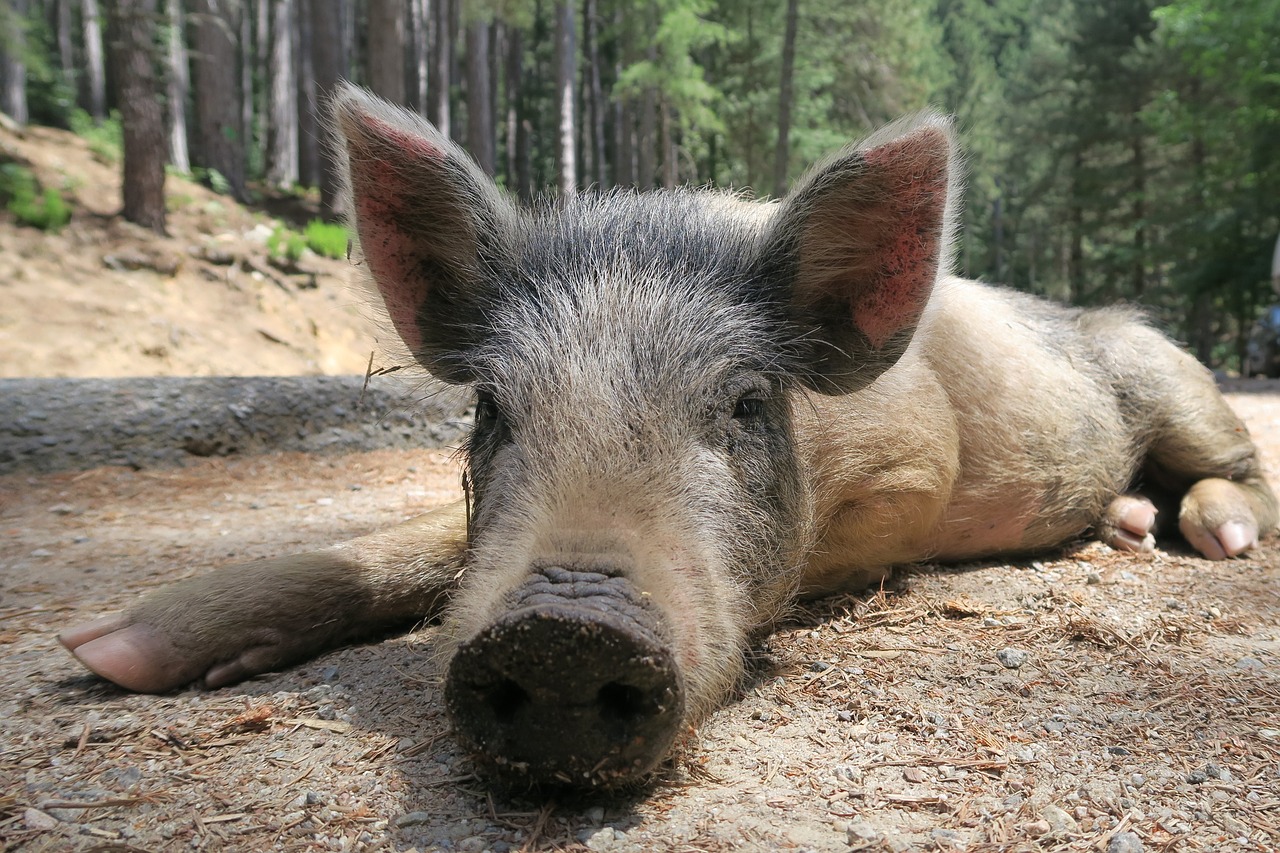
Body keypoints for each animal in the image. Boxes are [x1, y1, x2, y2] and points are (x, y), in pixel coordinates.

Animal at [62, 83, 1280, 788]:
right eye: (491, 406)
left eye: (743, 403)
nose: (560, 635)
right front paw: (106, 654)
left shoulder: (916, 468)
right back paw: (1125, 524)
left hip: (1167, 372)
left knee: (1237, 465)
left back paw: (1208, 534)